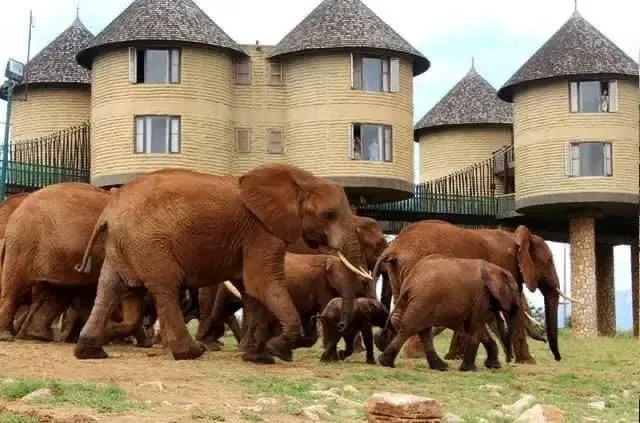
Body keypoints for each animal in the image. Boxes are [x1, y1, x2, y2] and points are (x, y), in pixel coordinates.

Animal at [72, 166, 372, 364]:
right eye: (329, 214)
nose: (342, 326)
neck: (301, 178)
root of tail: (108, 211)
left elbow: (251, 288)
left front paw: (258, 356)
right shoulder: (262, 230)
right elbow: (261, 281)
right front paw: (276, 349)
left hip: (122, 244)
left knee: (109, 287)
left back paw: (90, 351)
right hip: (149, 242)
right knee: (166, 286)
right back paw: (191, 353)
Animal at [376, 253, 520, 372]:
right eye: (515, 291)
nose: (509, 360)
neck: (495, 269)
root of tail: (410, 281)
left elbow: (478, 328)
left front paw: (494, 366)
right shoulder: (481, 295)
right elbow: (474, 327)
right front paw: (469, 369)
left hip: (421, 301)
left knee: (423, 331)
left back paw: (440, 367)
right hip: (424, 300)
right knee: (411, 328)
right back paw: (386, 363)